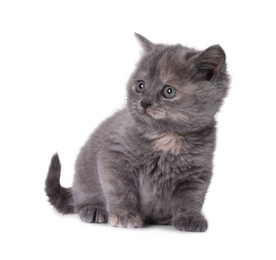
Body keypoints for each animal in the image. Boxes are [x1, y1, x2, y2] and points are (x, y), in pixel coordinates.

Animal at [45, 33, 230, 232]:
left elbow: (191, 198)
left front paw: (190, 217)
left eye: (169, 91)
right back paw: (93, 209)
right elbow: (120, 190)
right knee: (81, 199)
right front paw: (124, 214)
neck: (166, 136)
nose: (145, 102)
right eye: (140, 86)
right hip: (84, 174)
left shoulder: (198, 172)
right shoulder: (114, 157)